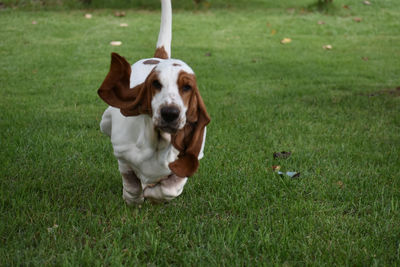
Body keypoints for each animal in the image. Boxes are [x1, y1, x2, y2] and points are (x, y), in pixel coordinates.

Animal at [97, 0, 209, 205]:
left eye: (187, 87)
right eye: (156, 84)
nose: (170, 113)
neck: (157, 144)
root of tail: (158, 57)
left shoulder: (191, 159)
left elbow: (171, 187)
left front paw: (154, 194)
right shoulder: (122, 153)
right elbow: (130, 180)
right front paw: (134, 198)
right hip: (105, 122)